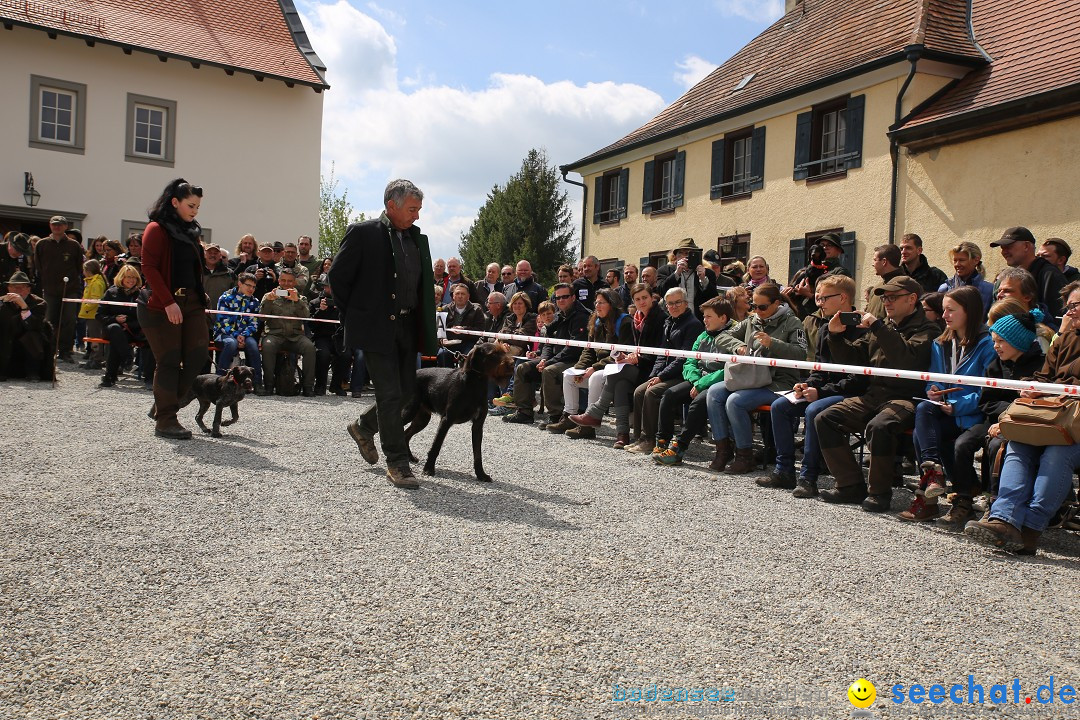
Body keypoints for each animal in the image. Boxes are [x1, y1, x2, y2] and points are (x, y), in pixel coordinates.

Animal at [403, 343, 516, 483]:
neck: (475, 384)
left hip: (422, 418)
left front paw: (481, 474)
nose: (512, 363)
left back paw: (410, 457)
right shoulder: (446, 420)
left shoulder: (478, 426)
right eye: (493, 354)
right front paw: (428, 469)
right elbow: (436, 446)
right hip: (410, 411)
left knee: (406, 434)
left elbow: (477, 454)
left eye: (504, 351)